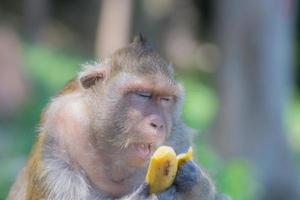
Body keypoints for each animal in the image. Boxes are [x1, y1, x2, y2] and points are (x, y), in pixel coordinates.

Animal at [8, 35, 231, 199]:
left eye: (166, 99)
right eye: (142, 94)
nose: (158, 123)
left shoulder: (178, 135)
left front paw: (194, 180)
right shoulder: (61, 128)